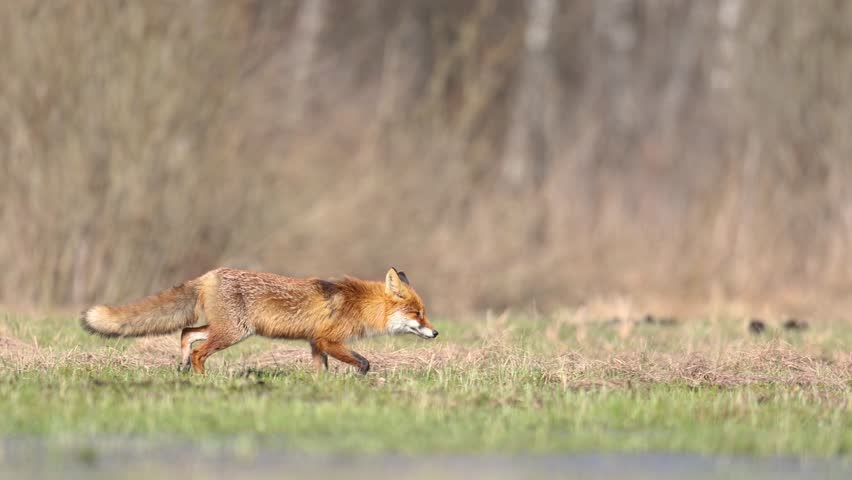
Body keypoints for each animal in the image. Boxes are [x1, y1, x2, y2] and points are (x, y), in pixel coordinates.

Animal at [80, 267, 437, 374]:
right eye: (417, 313)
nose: (435, 332)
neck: (360, 304)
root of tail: (210, 274)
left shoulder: (315, 343)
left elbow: (321, 370)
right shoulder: (328, 339)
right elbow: (363, 361)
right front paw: (359, 379)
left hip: (227, 329)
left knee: (186, 333)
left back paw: (182, 367)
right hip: (233, 333)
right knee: (198, 351)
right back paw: (204, 381)